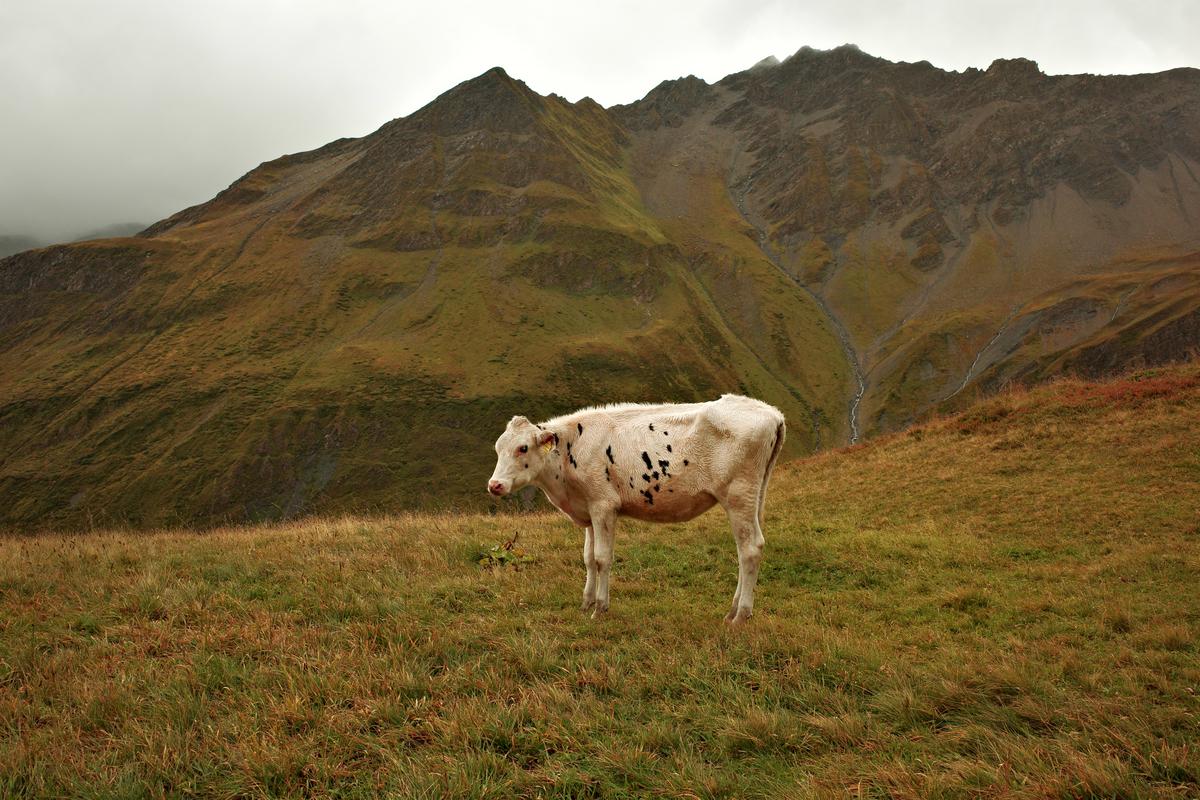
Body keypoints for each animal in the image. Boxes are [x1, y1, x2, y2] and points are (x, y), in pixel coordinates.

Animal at [487, 394, 786, 623]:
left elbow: (601, 558)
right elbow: (587, 558)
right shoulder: (589, 509)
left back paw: (741, 615)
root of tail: (772, 413)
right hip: (754, 497)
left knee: (750, 549)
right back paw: (733, 611)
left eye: (523, 448)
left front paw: (600, 608)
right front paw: (585, 603)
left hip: (738, 495)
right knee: (746, 550)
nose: (494, 485)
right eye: (498, 447)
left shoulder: (604, 505)